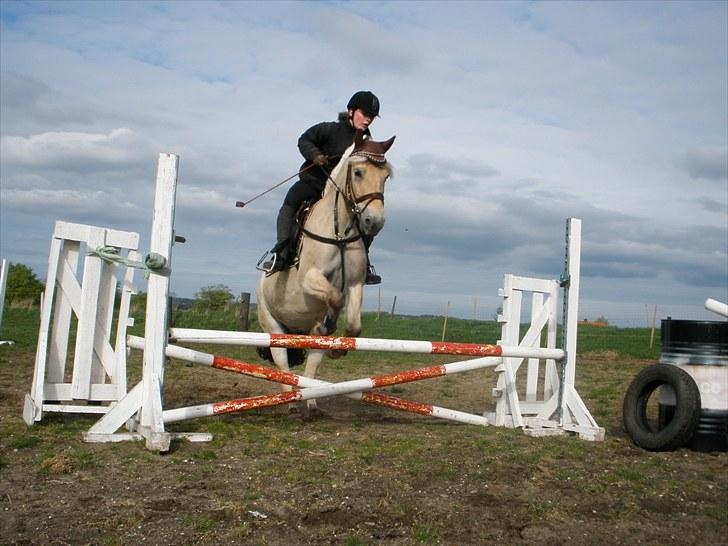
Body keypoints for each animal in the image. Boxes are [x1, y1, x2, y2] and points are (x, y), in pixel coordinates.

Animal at [255, 130, 392, 414]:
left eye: (385, 177)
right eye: (358, 172)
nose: (374, 222)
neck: (340, 232)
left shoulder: (355, 284)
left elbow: (354, 324)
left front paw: (337, 348)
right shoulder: (310, 279)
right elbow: (336, 299)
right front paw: (330, 323)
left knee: (311, 363)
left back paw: (311, 403)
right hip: (273, 325)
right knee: (283, 363)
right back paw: (291, 403)